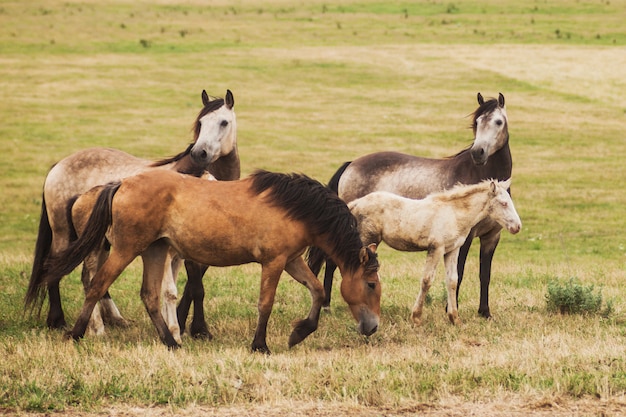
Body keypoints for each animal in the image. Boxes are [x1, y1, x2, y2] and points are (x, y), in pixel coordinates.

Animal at [25, 88, 238, 338]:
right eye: (201, 123)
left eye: (224, 122)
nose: (200, 153)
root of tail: (58, 165)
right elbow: (195, 287)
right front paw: (196, 329)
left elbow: (190, 286)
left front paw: (186, 325)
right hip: (64, 234)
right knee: (56, 269)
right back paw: (58, 321)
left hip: (101, 242)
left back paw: (114, 320)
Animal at [42, 167, 380, 352]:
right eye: (371, 284)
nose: (373, 327)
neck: (295, 208)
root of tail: (122, 183)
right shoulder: (274, 263)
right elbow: (265, 304)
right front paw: (260, 345)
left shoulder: (291, 260)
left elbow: (317, 291)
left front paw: (299, 333)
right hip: (126, 249)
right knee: (97, 285)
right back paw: (75, 333)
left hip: (155, 250)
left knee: (149, 296)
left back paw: (171, 342)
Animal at [348, 179, 520, 324]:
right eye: (504, 203)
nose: (517, 227)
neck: (453, 214)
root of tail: (355, 204)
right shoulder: (436, 248)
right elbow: (427, 280)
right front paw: (416, 317)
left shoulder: (453, 249)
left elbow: (452, 280)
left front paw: (454, 318)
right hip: (367, 240)